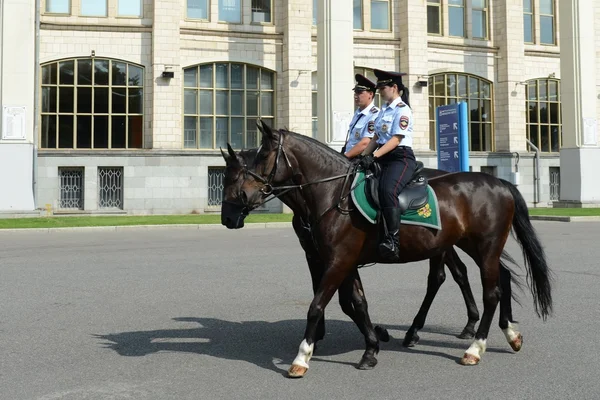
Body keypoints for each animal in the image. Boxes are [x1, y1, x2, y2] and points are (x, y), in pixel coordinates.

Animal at [220, 120, 552, 376]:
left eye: (264, 155)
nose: (228, 216)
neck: (333, 194)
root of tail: (500, 183)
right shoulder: (337, 260)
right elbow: (355, 302)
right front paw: (371, 346)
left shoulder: (337, 261)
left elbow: (317, 305)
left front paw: (303, 356)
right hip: (470, 246)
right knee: (497, 278)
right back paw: (509, 334)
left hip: (482, 246)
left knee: (486, 290)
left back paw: (474, 347)